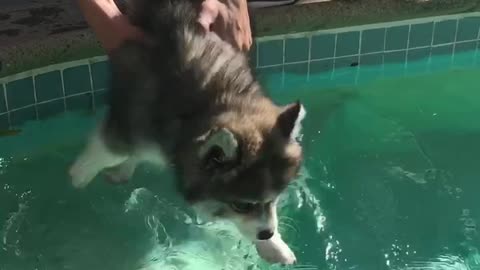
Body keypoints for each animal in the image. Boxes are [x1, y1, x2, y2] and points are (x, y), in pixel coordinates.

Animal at [68, 0, 304, 264]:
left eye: (275, 198)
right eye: (242, 205)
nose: (267, 233)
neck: (213, 102)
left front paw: (273, 245)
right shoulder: (136, 113)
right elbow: (111, 148)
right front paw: (80, 173)